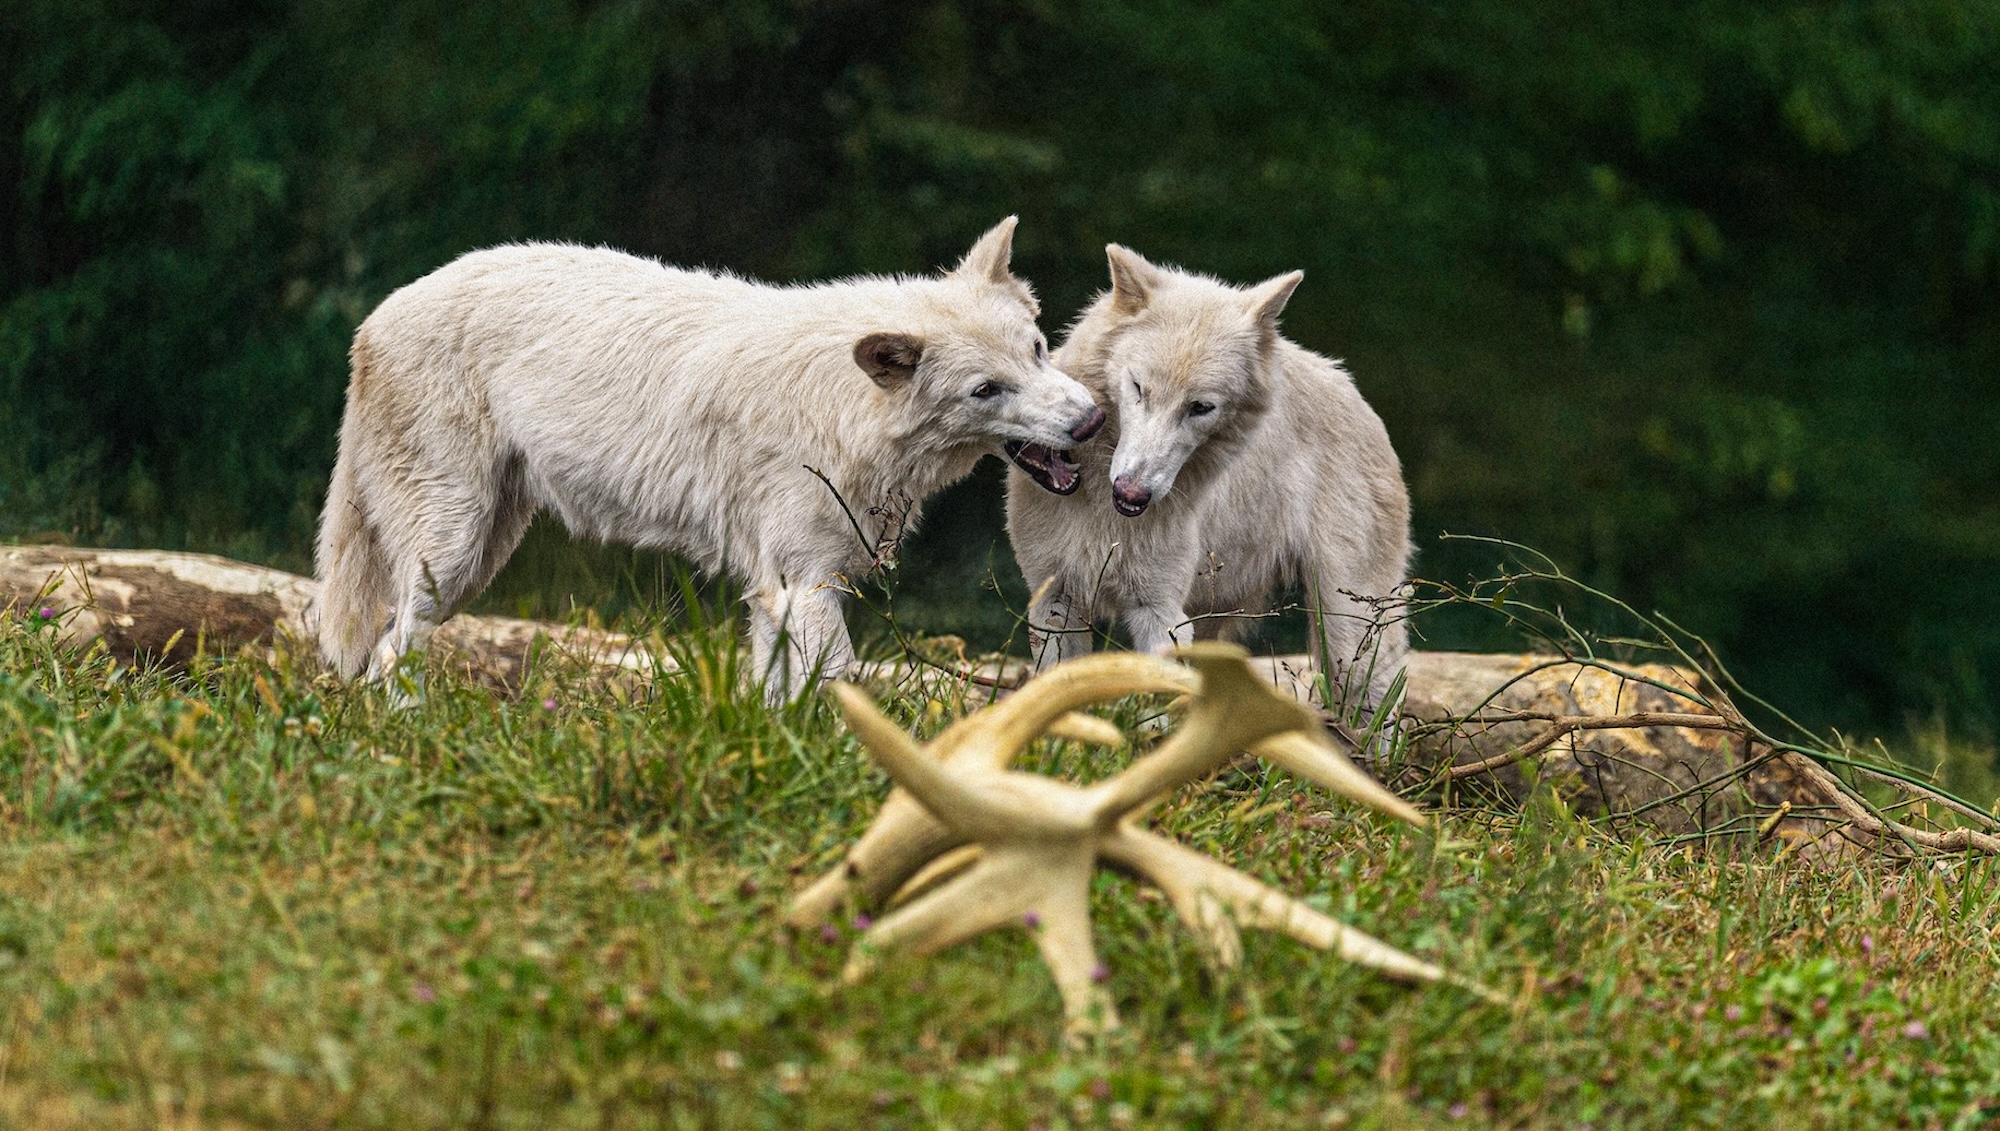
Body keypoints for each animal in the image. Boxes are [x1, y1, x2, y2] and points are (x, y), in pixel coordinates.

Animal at [316, 218, 1105, 700]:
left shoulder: (778, 594)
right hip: (450, 553)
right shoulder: (803, 586)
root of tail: (374, 319)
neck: (845, 409)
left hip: (479, 558)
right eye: (986, 389)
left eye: (1038, 350)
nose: (1092, 419)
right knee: (388, 653)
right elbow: (842, 689)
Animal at [1005, 245, 1412, 721]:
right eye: (1138, 388)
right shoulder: (1054, 599)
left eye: (1200, 407)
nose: (1132, 492)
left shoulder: (1159, 611)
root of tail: (1357, 394)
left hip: (1348, 627)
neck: (1103, 511)